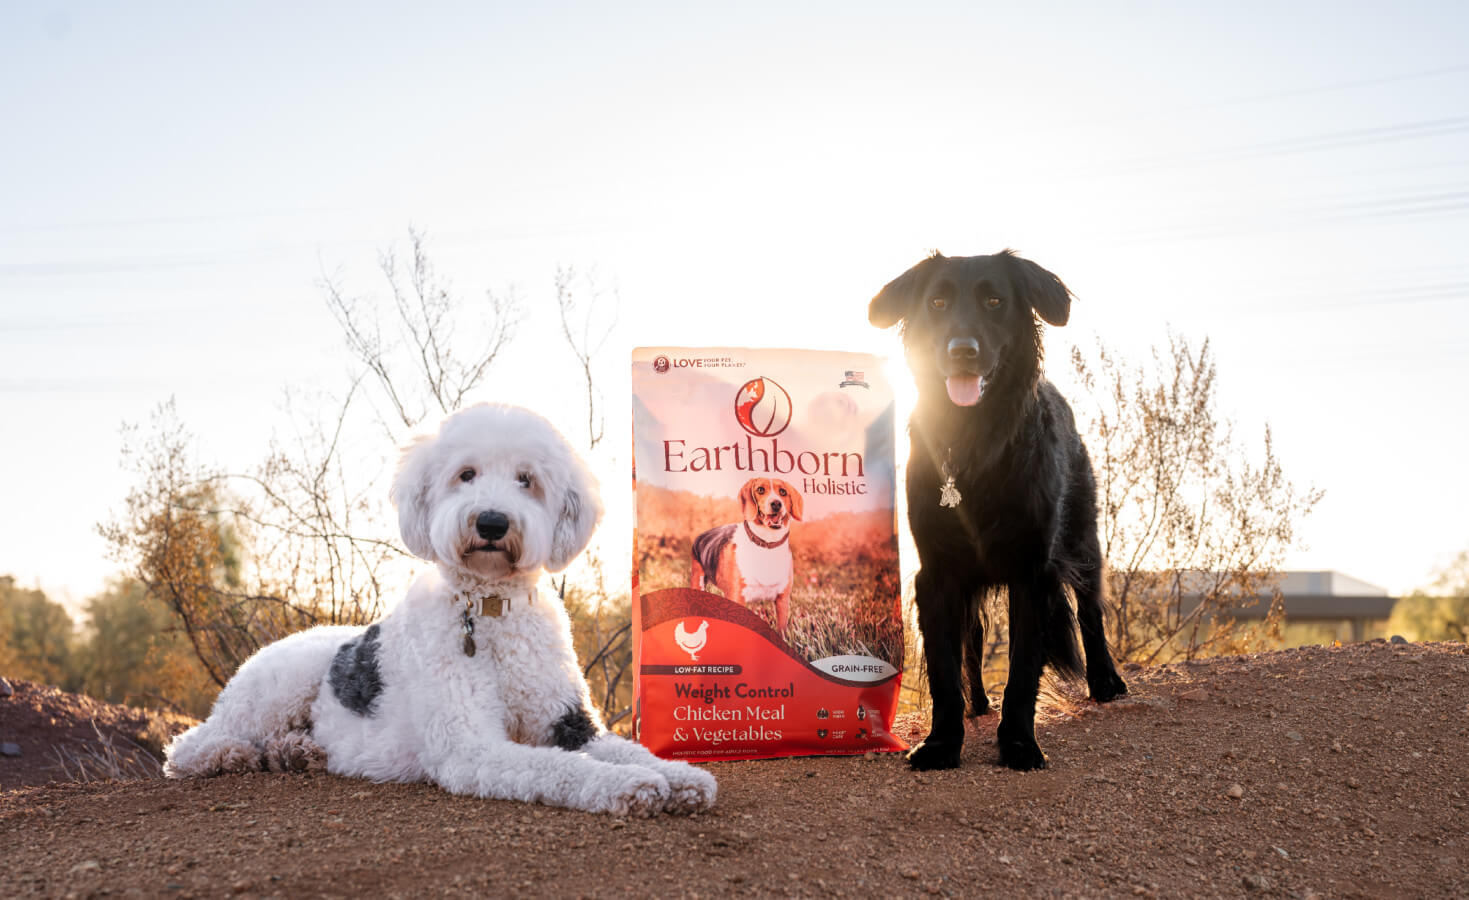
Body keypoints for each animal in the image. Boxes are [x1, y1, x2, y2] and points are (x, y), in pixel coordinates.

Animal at [166, 402, 716, 816]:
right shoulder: (470, 745)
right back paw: (230, 754)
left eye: (526, 479)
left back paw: (296, 751)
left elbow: (626, 748)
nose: (492, 522)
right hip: (274, 689)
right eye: (466, 474)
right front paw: (629, 785)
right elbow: (561, 768)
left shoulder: (567, 722)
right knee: (190, 743)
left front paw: (681, 776)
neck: (491, 610)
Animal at [863, 249, 1128, 769]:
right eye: (937, 302)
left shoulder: (1034, 572)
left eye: (994, 301)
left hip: (1083, 537)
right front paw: (943, 742)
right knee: (974, 634)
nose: (961, 350)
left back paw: (1106, 681)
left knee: (1090, 606)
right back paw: (978, 703)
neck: (973, 441)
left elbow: (1024, 667)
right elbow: (945, 668)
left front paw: (1020, 743)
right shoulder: (938, 573)